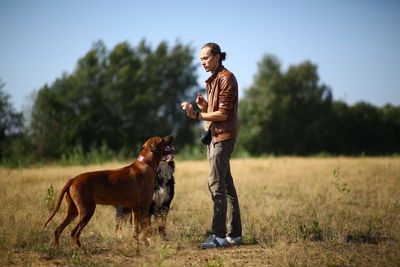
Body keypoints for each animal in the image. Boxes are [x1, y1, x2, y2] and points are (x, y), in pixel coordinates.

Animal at [43, 136, 173, 249]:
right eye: (162, 139)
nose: (171, 136)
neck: (146, 164)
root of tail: (73, 179)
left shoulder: (135, 208)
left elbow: (136, 230)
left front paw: (138, 245)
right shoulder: (144, 207)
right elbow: (145, 229)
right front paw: (146, 245)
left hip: (73, 210)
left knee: (58, 229)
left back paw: (58, 248)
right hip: (87, 211)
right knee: (74, 233)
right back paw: (82, 250)